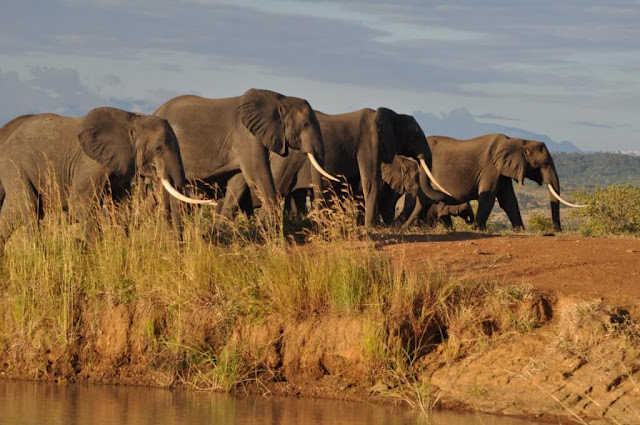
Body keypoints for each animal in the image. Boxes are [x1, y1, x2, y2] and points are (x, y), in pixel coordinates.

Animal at [0, 105, 210, 248]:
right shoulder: (91, 163)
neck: (133, 121)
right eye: (158, 148)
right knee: (29, 210)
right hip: (15, 166)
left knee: (14, 214)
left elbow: (121, 206)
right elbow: (80, 204)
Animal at [218, 107, 448, 225]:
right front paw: (370, 227)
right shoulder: (369, 141)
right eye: (416, 135)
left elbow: (355, 187)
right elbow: (371, 181)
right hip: (285, 162)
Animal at [424, 133, 584, 230]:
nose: (557, 230)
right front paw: (479, 230)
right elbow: (488, 198)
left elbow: (509, 200)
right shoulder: (490, 168)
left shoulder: (502, 172)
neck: (519, 141)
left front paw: (520, 231)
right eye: (544, 163)